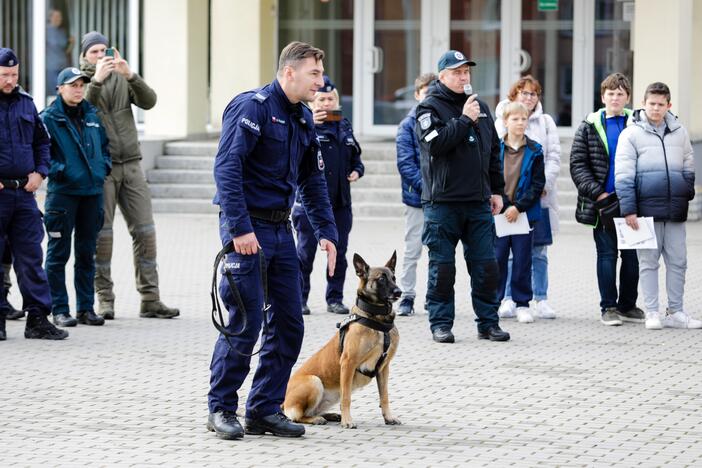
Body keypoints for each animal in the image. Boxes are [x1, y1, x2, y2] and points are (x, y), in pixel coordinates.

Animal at [280, 252, 402, 428]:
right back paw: (316, 419)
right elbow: (346, 397)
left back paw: (330, 415)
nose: (399, 292)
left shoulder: (384, 368)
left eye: (394, 277)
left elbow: (384, 396)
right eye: (381, 279)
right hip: (314, 381)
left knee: (310, 411)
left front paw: (389, 417)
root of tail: (283, 403)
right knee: (297, 416)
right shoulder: (348, 364)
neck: (377, 319)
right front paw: (347, 421)